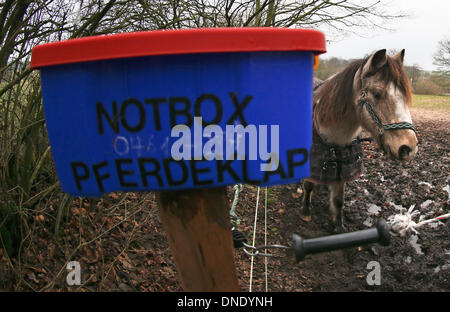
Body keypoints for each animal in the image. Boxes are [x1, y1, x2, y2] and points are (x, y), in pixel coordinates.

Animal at [300, 49, 420, 232]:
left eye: (406, 96)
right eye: (377, 94)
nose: (408, 148)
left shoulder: (344, 167)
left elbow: (338, 200)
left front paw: (338, 227)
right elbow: (308, 185)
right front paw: (305, 211)